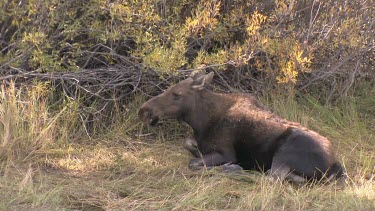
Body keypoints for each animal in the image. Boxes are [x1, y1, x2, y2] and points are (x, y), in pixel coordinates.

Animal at [139, 71, 346, 183]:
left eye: (177, 94)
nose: (144, 111)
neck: (201, 121)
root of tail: (334, 165)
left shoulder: (226, 152)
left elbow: (194, 163)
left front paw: (226, 165)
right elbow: (188, 143)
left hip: (283, 154)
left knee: (271, 177)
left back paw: (234, 169)